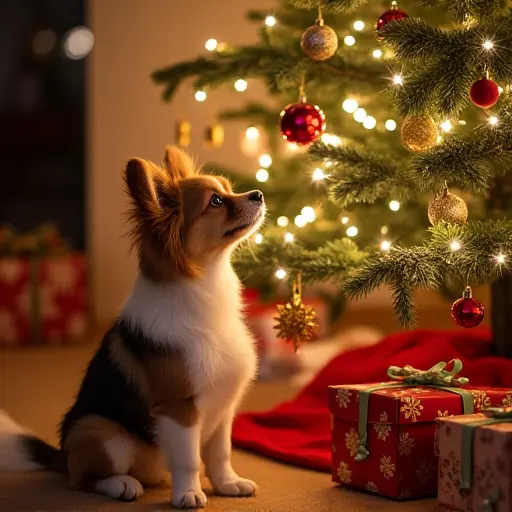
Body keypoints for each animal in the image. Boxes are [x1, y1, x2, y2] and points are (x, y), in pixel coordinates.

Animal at [0, 147, 266, 508]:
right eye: (215, 201)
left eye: (228, 189)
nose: (259, 194)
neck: (204, 287)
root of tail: (63, 454)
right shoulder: (179, 408)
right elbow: (188, 459)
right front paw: (189, 493)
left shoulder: (223, 407)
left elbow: (220, 454)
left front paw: (228, 484)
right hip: (105, 435)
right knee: (82, 480)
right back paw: (121, 485)